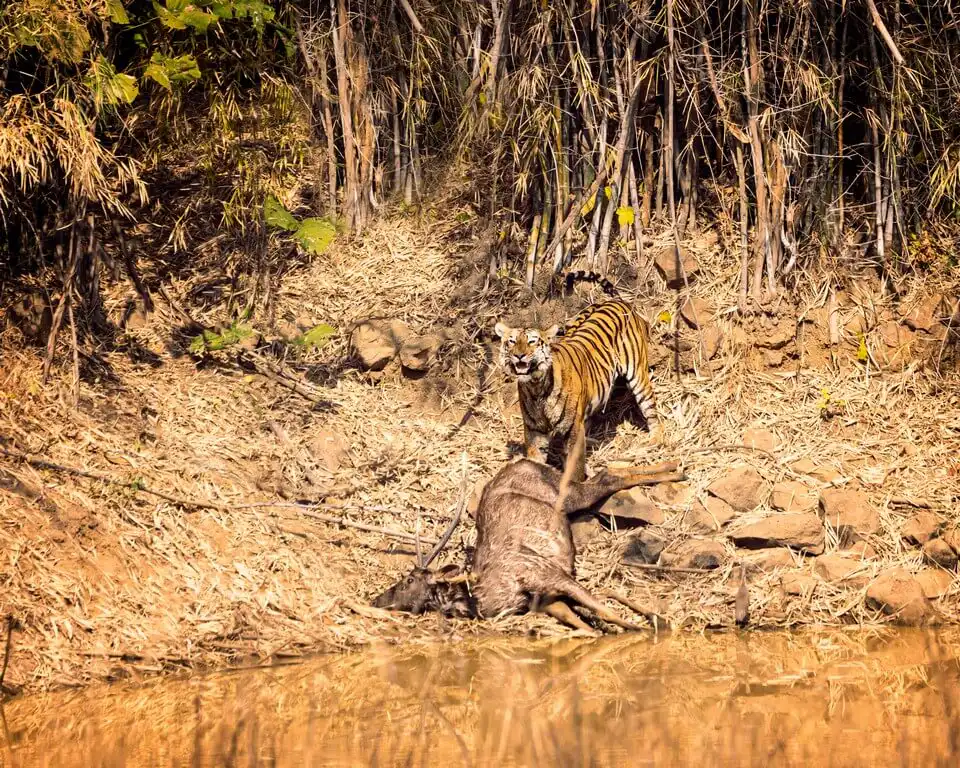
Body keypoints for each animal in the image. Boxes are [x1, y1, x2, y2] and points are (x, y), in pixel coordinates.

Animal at [494, 271, 662, 482]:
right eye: (512, 342)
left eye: (532, 342)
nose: (519, 355)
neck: (536, 387)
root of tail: (616, 301)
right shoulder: (535, 431)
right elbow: (535, 461)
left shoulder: (572, 429)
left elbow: (574, 468)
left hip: (638, 375)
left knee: (651, 410)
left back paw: (655, 440)